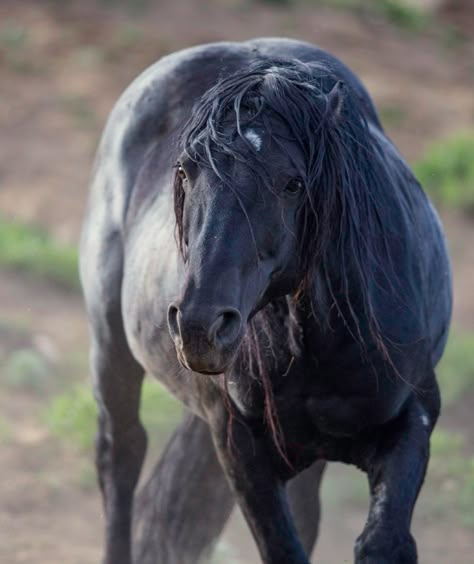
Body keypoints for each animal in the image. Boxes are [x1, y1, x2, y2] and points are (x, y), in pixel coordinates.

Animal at [80, 37, 452, 560]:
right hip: (112, 349)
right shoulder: (242, 449)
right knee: (122, 458)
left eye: (293, 182)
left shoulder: (414, 419)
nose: (200, 325)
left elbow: (381, 542)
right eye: (185, 170)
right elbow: (282, 548)